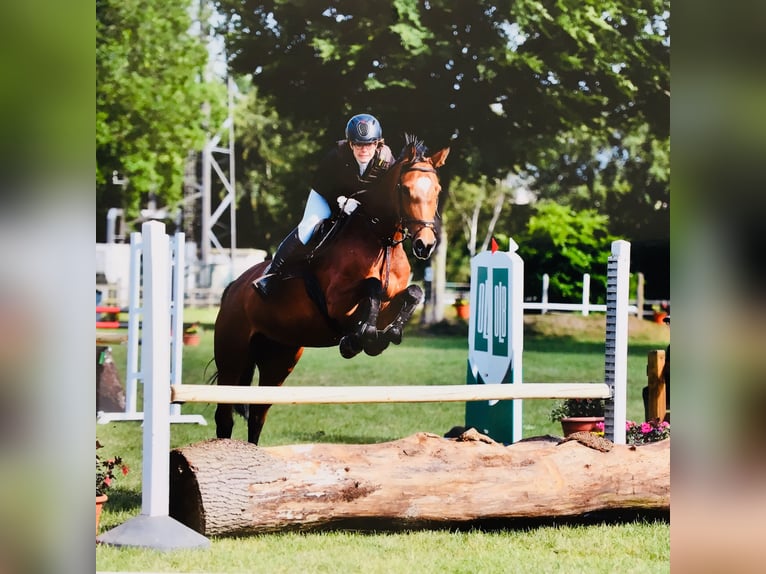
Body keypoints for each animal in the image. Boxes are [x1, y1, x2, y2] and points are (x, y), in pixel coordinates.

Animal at [213, 135, 449, 444]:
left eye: (437, 190)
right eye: (405, 189)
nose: (425, 245)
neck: (381, 240)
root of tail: (233, 288)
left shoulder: (390, 303)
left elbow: (414, 293)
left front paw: (386, 335)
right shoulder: (337, 302)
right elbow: (372, 287)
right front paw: (358, 339)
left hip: (279, 358)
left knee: (257, 414)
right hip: (233, 355)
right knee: (224, 417)